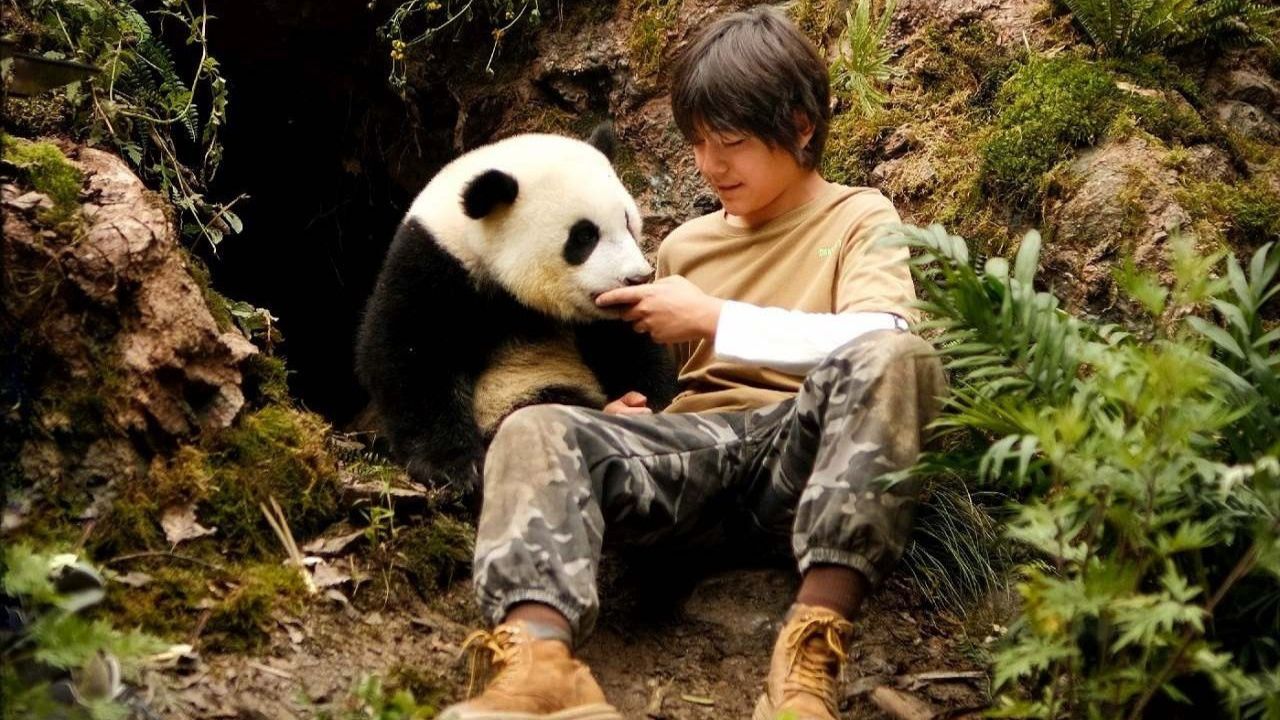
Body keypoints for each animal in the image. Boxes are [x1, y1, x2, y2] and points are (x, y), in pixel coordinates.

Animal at [355, 126, 677, 498]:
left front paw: (653, 403)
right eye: (584, 236)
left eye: (627, 221)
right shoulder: (434, 266)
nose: (636, 277)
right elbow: (409, 355)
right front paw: (455, 468)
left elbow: (629, 346)